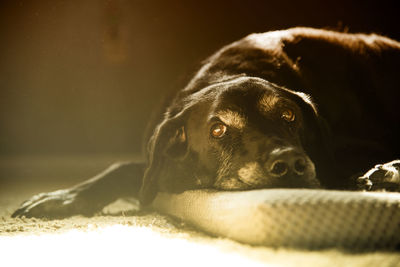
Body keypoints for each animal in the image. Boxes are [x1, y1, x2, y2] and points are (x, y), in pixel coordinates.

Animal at [11, 27, 400, 220]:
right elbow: (128, 169)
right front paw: (64, 197)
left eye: (289, 116)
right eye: (218, 130)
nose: (290, 163)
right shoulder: (159, 159)